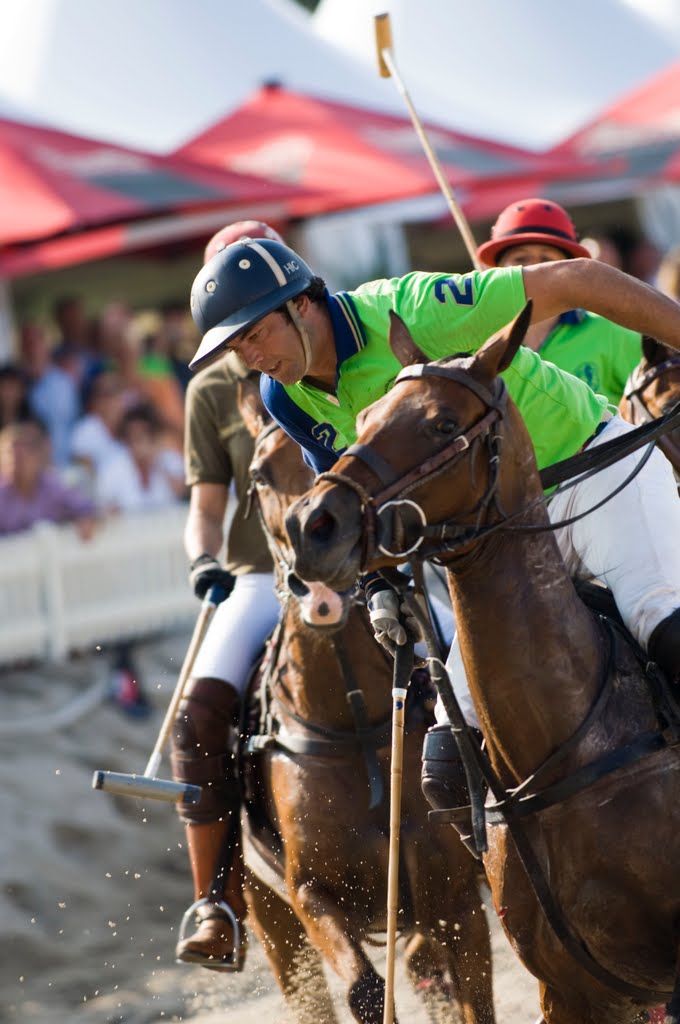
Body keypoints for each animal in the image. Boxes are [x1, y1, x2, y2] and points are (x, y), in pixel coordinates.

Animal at [233, 380, 493, 1024]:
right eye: (258, 476)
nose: (319, 588)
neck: (350, 720)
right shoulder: (310, 892)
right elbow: (366, 990)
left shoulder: (455, 897)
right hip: (268, 915)